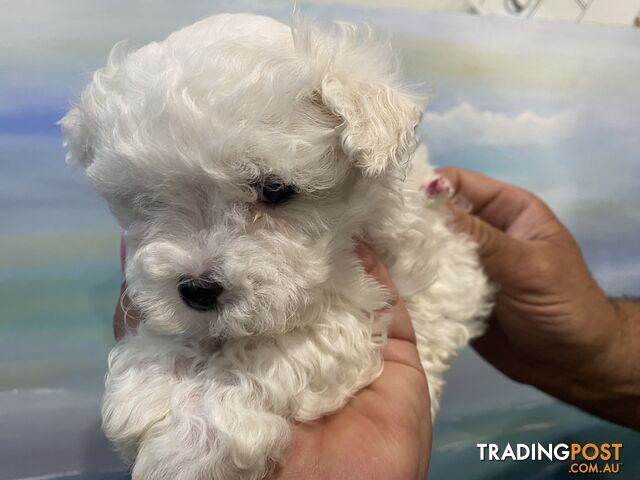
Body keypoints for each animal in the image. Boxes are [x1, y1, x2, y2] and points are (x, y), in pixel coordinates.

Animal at [61, 13, 490, 478]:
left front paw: (192, 437)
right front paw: (152, 376)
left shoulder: (378, 280)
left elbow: (293, 343)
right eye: (149, 199)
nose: (197, 290)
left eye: (275, 189)